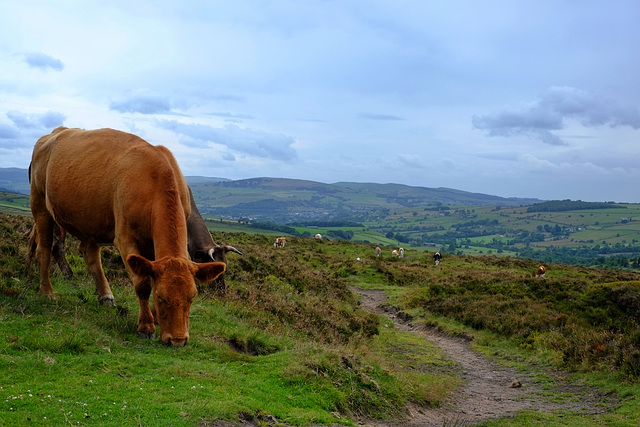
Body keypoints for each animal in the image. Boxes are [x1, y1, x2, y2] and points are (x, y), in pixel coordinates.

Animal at [30, 127, 226, 348]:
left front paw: (156, 319)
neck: (156, 180)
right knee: (44, 249)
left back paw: (105, 295)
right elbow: (142, 283)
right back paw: (48, 292)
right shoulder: (125, 239)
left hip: (89, 220)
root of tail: (56, 132)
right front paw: (146, 326)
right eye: (161, 297)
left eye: (192, 297)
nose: (178, 340)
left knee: (90, 255)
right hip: (40, 205)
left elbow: (151, 275)